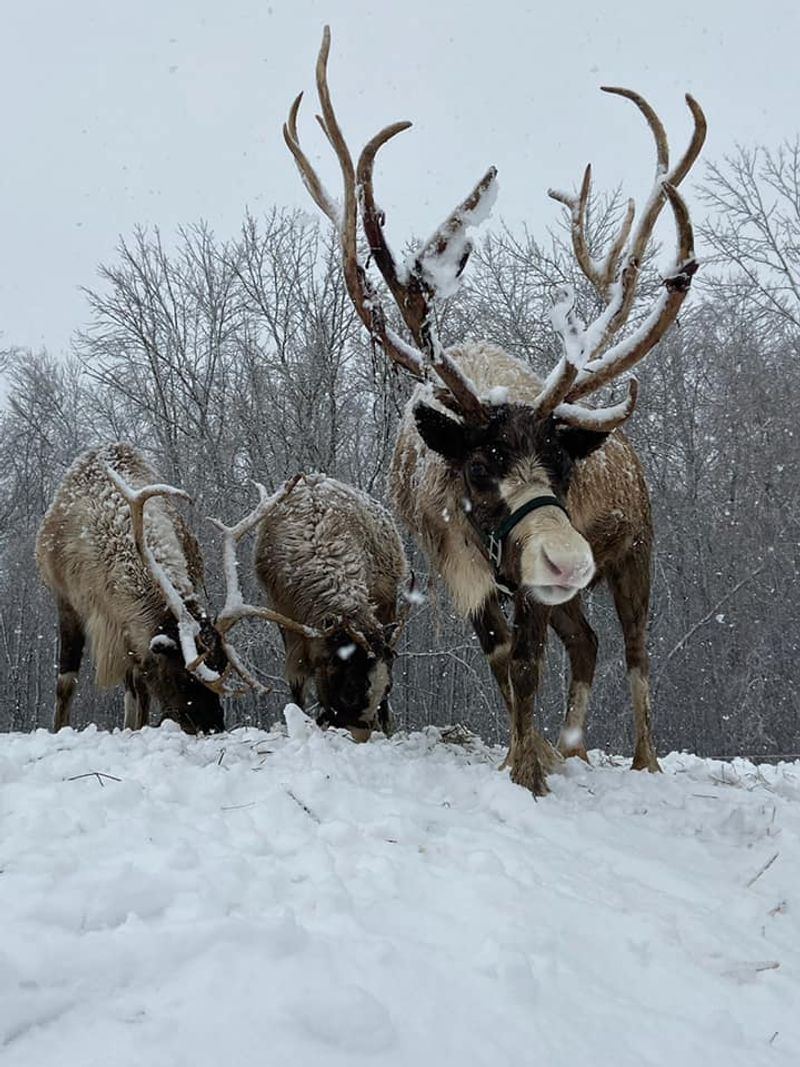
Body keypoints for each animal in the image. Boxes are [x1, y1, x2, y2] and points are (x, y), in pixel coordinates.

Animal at [36, 443, 320, 734]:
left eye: (223, 665)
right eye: (183, 677)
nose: (213, 726)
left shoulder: (129, 633)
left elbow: (139, 690)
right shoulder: (68, 601)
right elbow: (66, 682)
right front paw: (58, 729)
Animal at [284, 27, 706, 794]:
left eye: (563, 466)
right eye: (480, 465)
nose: (569, 558)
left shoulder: (536, 575)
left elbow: (530, 662)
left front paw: (529, 769)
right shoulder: (459, 564)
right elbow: (503, 659)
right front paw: (527, 756)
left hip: (636, 551)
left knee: (634, 648)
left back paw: (643, 758)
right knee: (588, 643)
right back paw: (573, 749)